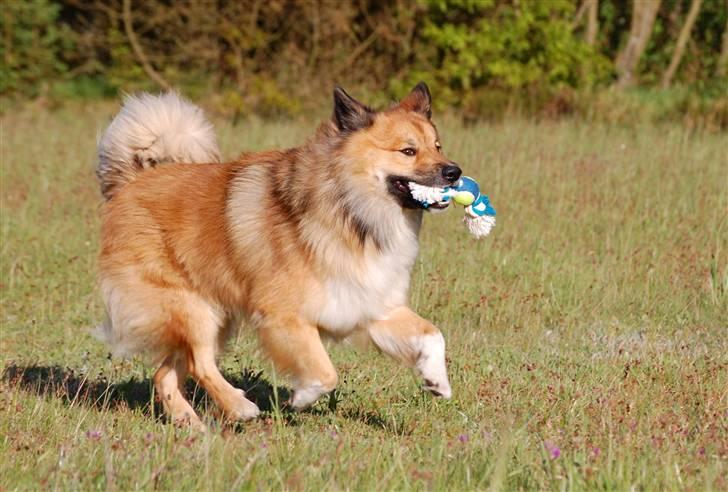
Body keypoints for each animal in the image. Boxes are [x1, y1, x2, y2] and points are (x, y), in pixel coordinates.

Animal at [95, 82, 460, 428]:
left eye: (437, 146)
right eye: (408, 151)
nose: (454, 172)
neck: (349, 209)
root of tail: (131, 183)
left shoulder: (372, 307)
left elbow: (433, 334)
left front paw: (436, 381)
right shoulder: (284, 316)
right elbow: (325, 372)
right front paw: (301, 397)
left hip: (214, 314)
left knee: (165, 374)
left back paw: (191, 423)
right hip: (194, 308)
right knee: (200, 362)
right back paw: (239, 407)